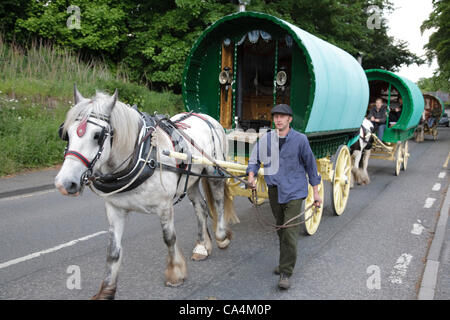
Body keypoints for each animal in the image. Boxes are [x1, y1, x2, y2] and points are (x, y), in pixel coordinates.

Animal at [54, 86, 237, 298]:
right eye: (66, 134)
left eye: (97, 135)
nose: (64, 183)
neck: (142, 156)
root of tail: (207, 117)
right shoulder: (115, 209)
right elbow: (113, 251)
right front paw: (106, 290)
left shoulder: (165, 206)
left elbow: (169, 238)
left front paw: (175, 274)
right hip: (190, 180)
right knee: (201, 208)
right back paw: (202, 246)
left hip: (214, 172)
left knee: (219, 202)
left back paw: (221, 236)